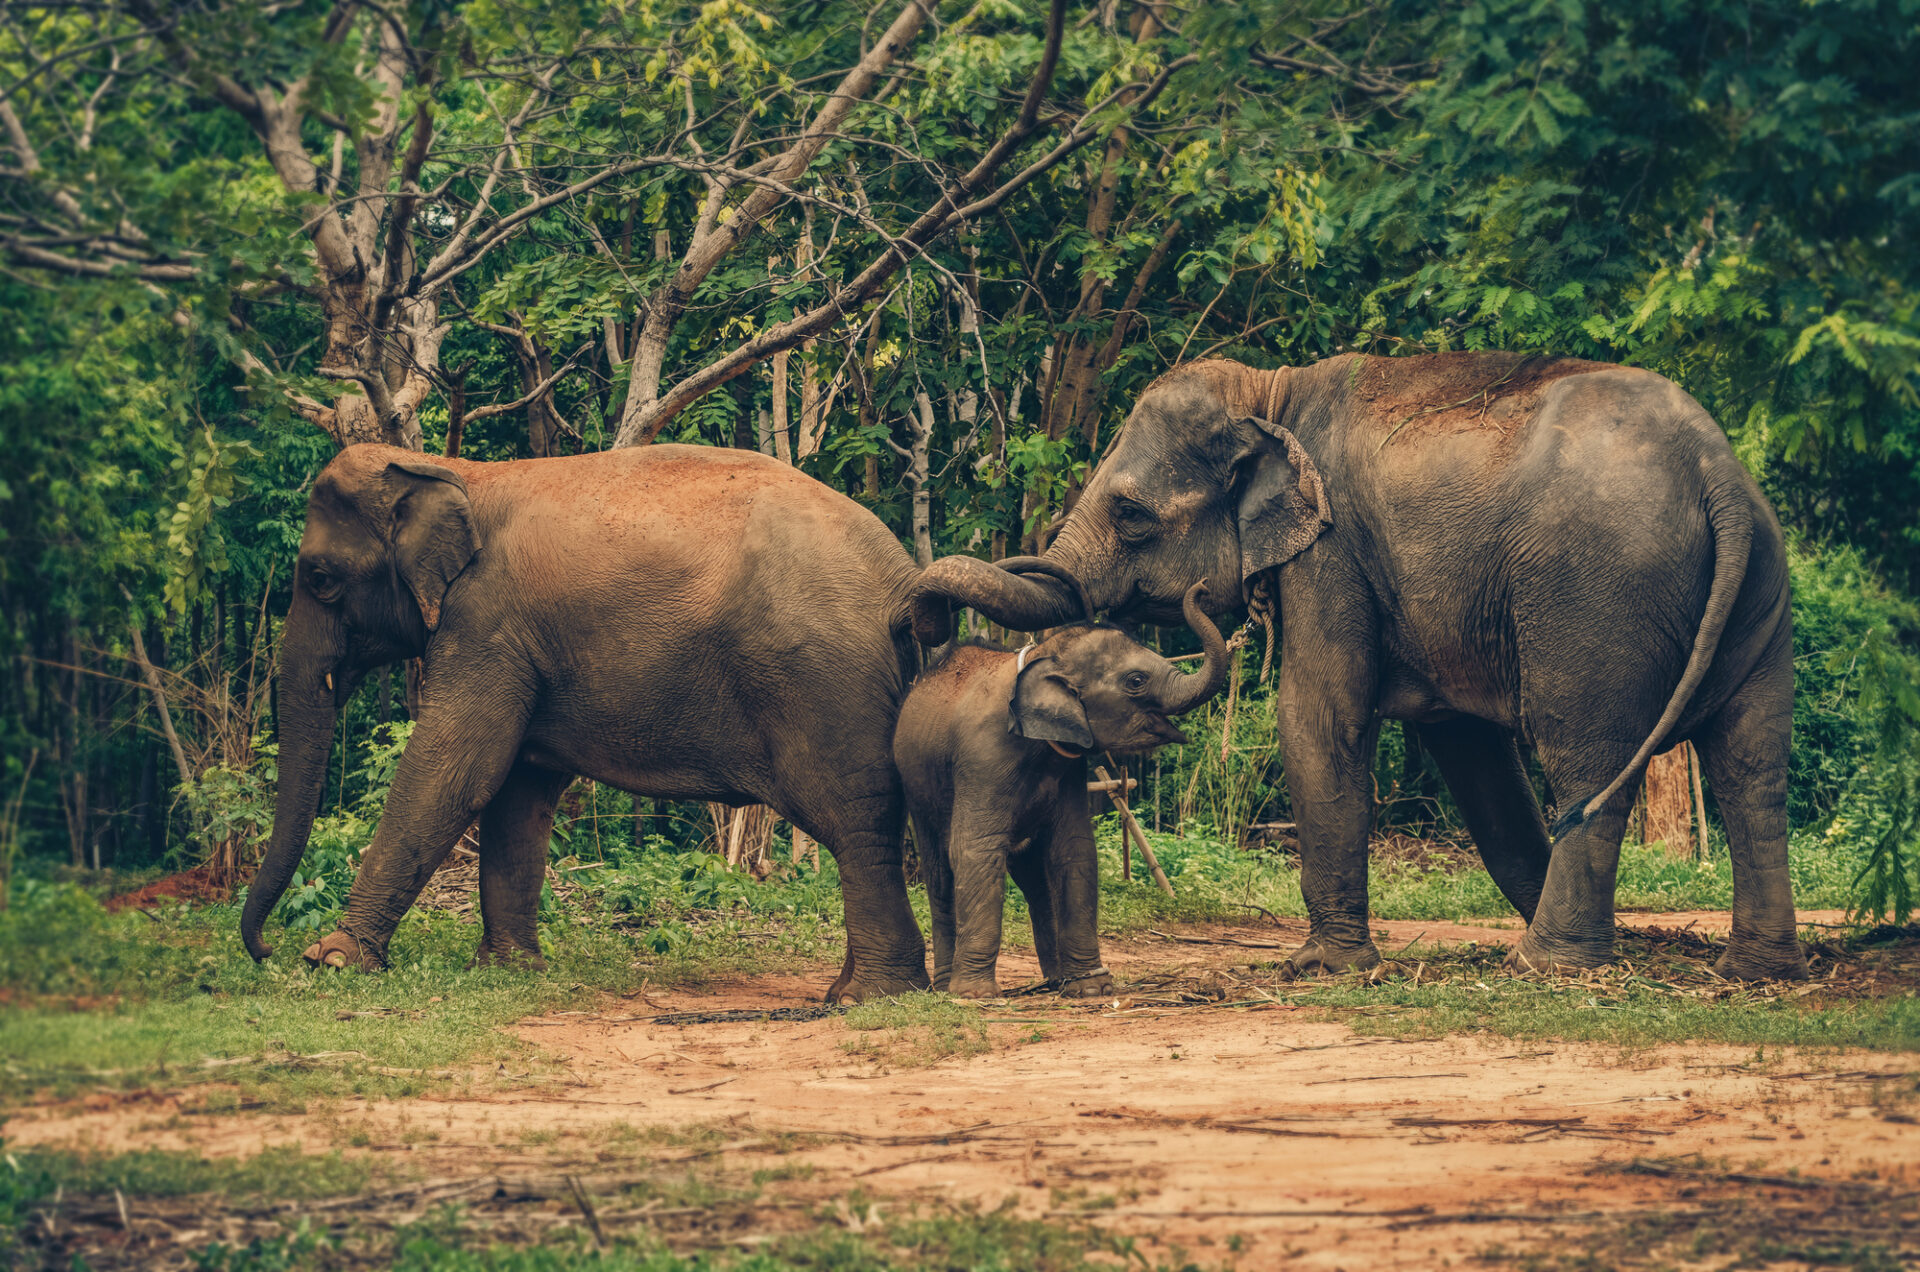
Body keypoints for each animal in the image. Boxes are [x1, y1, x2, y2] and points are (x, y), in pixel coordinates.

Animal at [243, 443, 933, 999]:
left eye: (321, 578)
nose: (266, 950)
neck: (456, 471)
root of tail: (901, 580)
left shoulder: (486, 628)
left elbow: (455, 770)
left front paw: (333, 960)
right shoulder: (515, 646)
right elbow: (518, 793)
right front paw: (508, 972)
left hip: (825, 685)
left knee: (858, 823)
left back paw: (868, 997)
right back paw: (852, 991)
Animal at [894, 572, 1228, 999]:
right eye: (1136, 681)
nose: (1202, 587)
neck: (1042, 657)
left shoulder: (1069, 766)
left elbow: (1074, 849)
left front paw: (1092, 988)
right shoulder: (981, 758)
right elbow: (975, 850)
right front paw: (976, 996)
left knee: (1034, 879)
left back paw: (1056, 981)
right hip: (917, 785)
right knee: (940, 872)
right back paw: (946, 987)